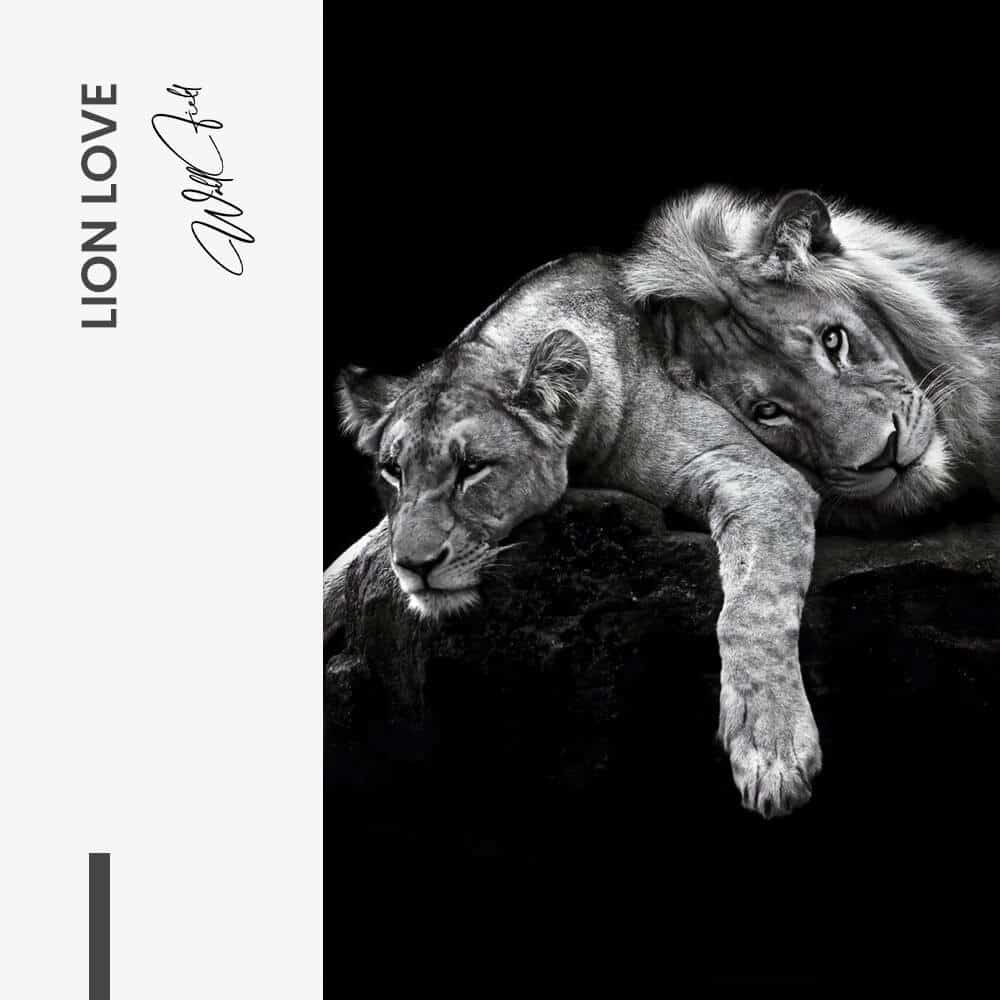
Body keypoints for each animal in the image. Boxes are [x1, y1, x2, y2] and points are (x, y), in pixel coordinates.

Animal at [328, 190, 1000, 819]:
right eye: (392, 471)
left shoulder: (759, 477)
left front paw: (770, 751)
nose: (415, 566)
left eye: (473, 468)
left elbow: (750, 609)